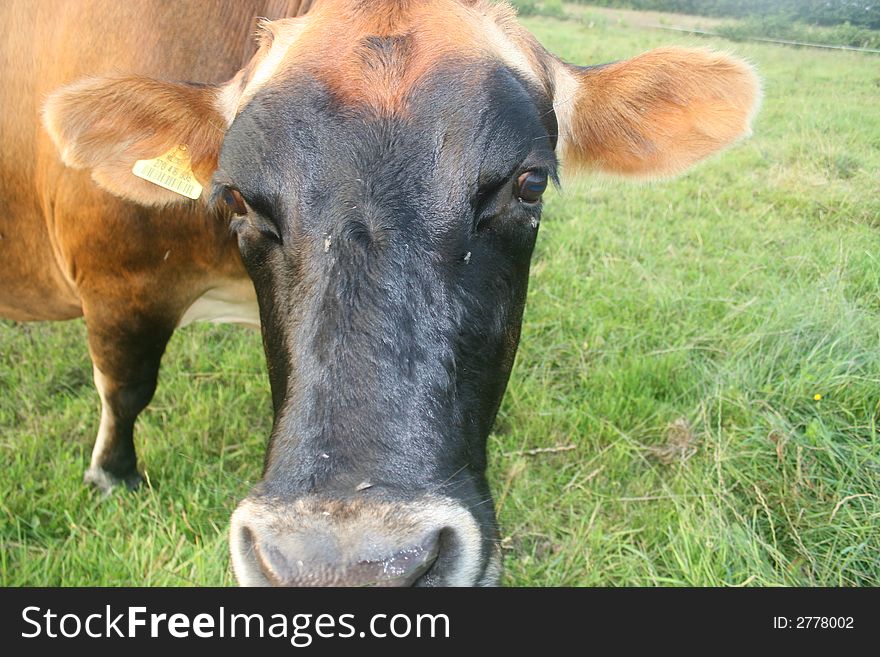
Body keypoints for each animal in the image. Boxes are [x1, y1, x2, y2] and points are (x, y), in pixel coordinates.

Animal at [0, 0, 756, 584]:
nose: (346, 566)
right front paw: (113, 477)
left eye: (530, 181)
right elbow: (127, 386)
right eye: (237, 197)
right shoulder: (118, 281)